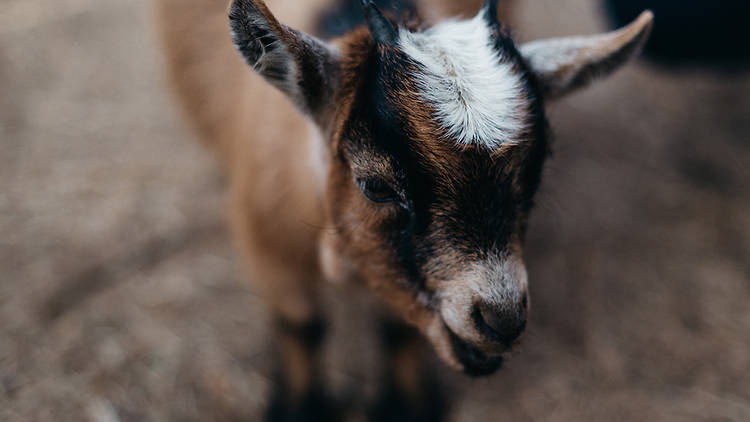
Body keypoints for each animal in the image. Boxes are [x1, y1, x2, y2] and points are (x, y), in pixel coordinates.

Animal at [156, 0, 656, 418]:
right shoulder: (265, 241)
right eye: (375, 186)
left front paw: (402, 407)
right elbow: (303, 325)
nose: (503, 320)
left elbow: (396, 329)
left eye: (537, 169)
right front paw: (303, 410)